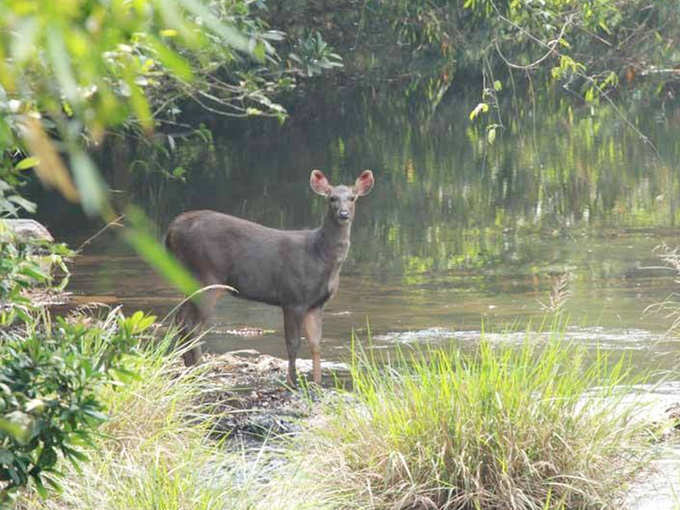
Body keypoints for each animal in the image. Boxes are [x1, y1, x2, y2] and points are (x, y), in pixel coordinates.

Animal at [166, 169, 378, 384]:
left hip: (188, 276)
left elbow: (316, 344)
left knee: (180, 319)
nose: (343, 214)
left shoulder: (316, 303)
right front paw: (292, 381)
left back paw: (190, 367)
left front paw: (317, 382)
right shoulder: (293, 297)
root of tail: (172, 229)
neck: (320, 255)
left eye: (352, 198)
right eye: (331, 198)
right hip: (207, 274)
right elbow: (293, 343)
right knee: (191, 324)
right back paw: (197, 369)